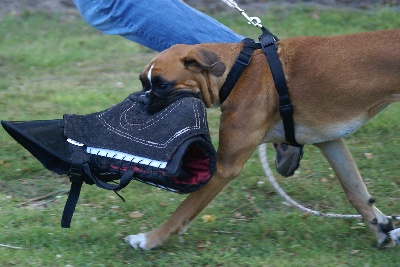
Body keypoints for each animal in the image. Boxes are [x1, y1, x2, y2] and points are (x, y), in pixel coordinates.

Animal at [126, 28, 400, 250]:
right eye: (143, 82)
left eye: (161, 85)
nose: (139, 99)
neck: (238, 71)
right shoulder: (330, 142)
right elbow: (356, 191)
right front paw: (381, 228)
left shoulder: (224, 168)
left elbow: (183, 211)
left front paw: (150, 239)